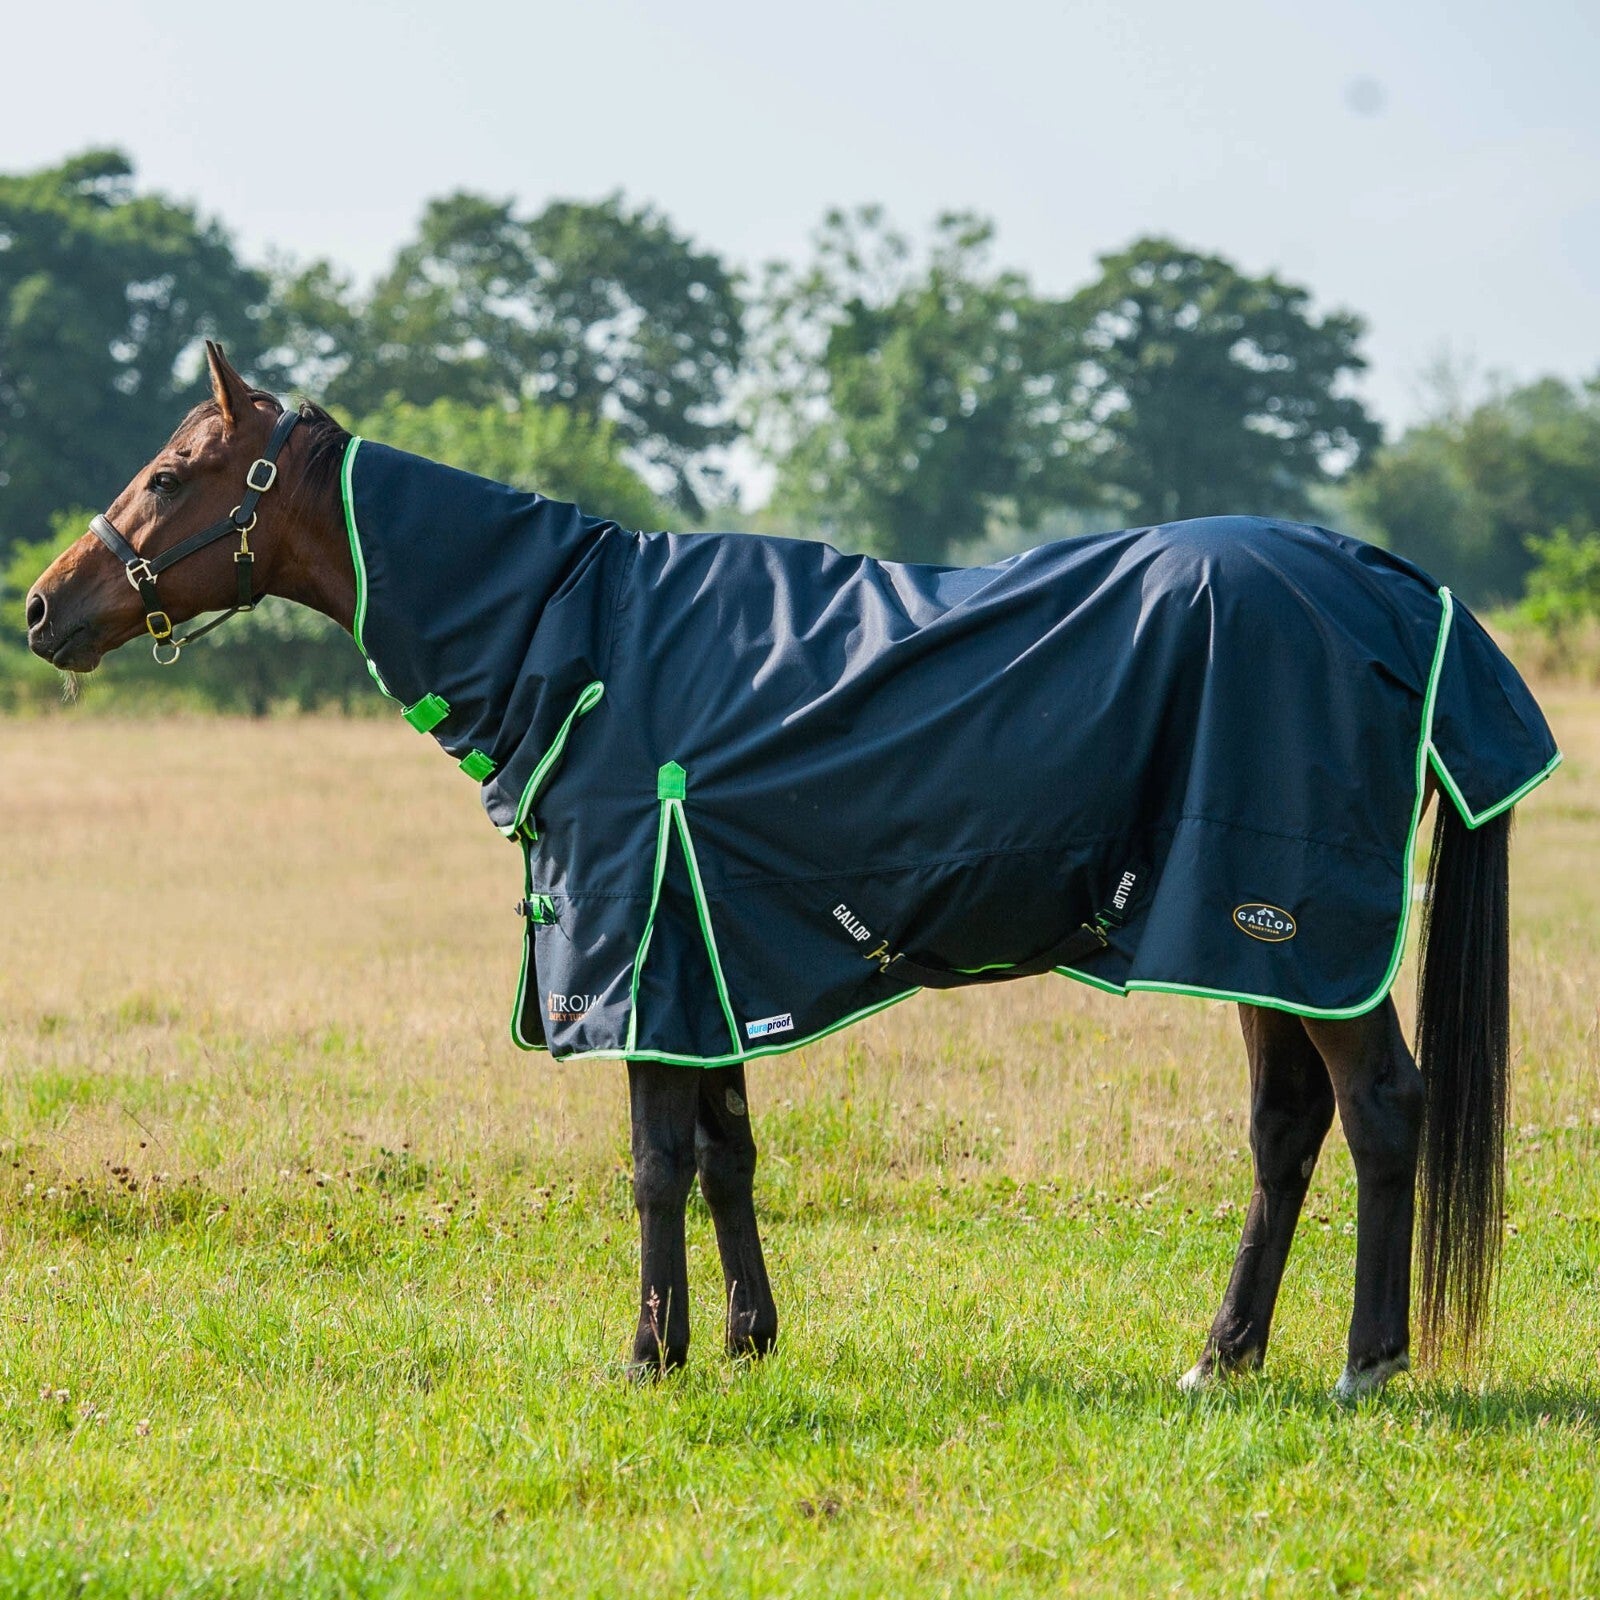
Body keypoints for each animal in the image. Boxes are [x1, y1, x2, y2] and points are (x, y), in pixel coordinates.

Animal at [26, 343, 1559, 1398]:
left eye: (169, 476)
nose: (42, 607)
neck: (576, 641)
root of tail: (1382, 580)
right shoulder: (706, 947)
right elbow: (727, 1153)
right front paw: (744, 1340)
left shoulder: (638, 950)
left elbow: (654, 1162)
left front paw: (646, 1356)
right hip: (1243, 943)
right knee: (1286, 1131)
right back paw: (1220, 1356)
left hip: (1296, 931)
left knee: (1384, 1113)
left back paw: (1367, 1363)